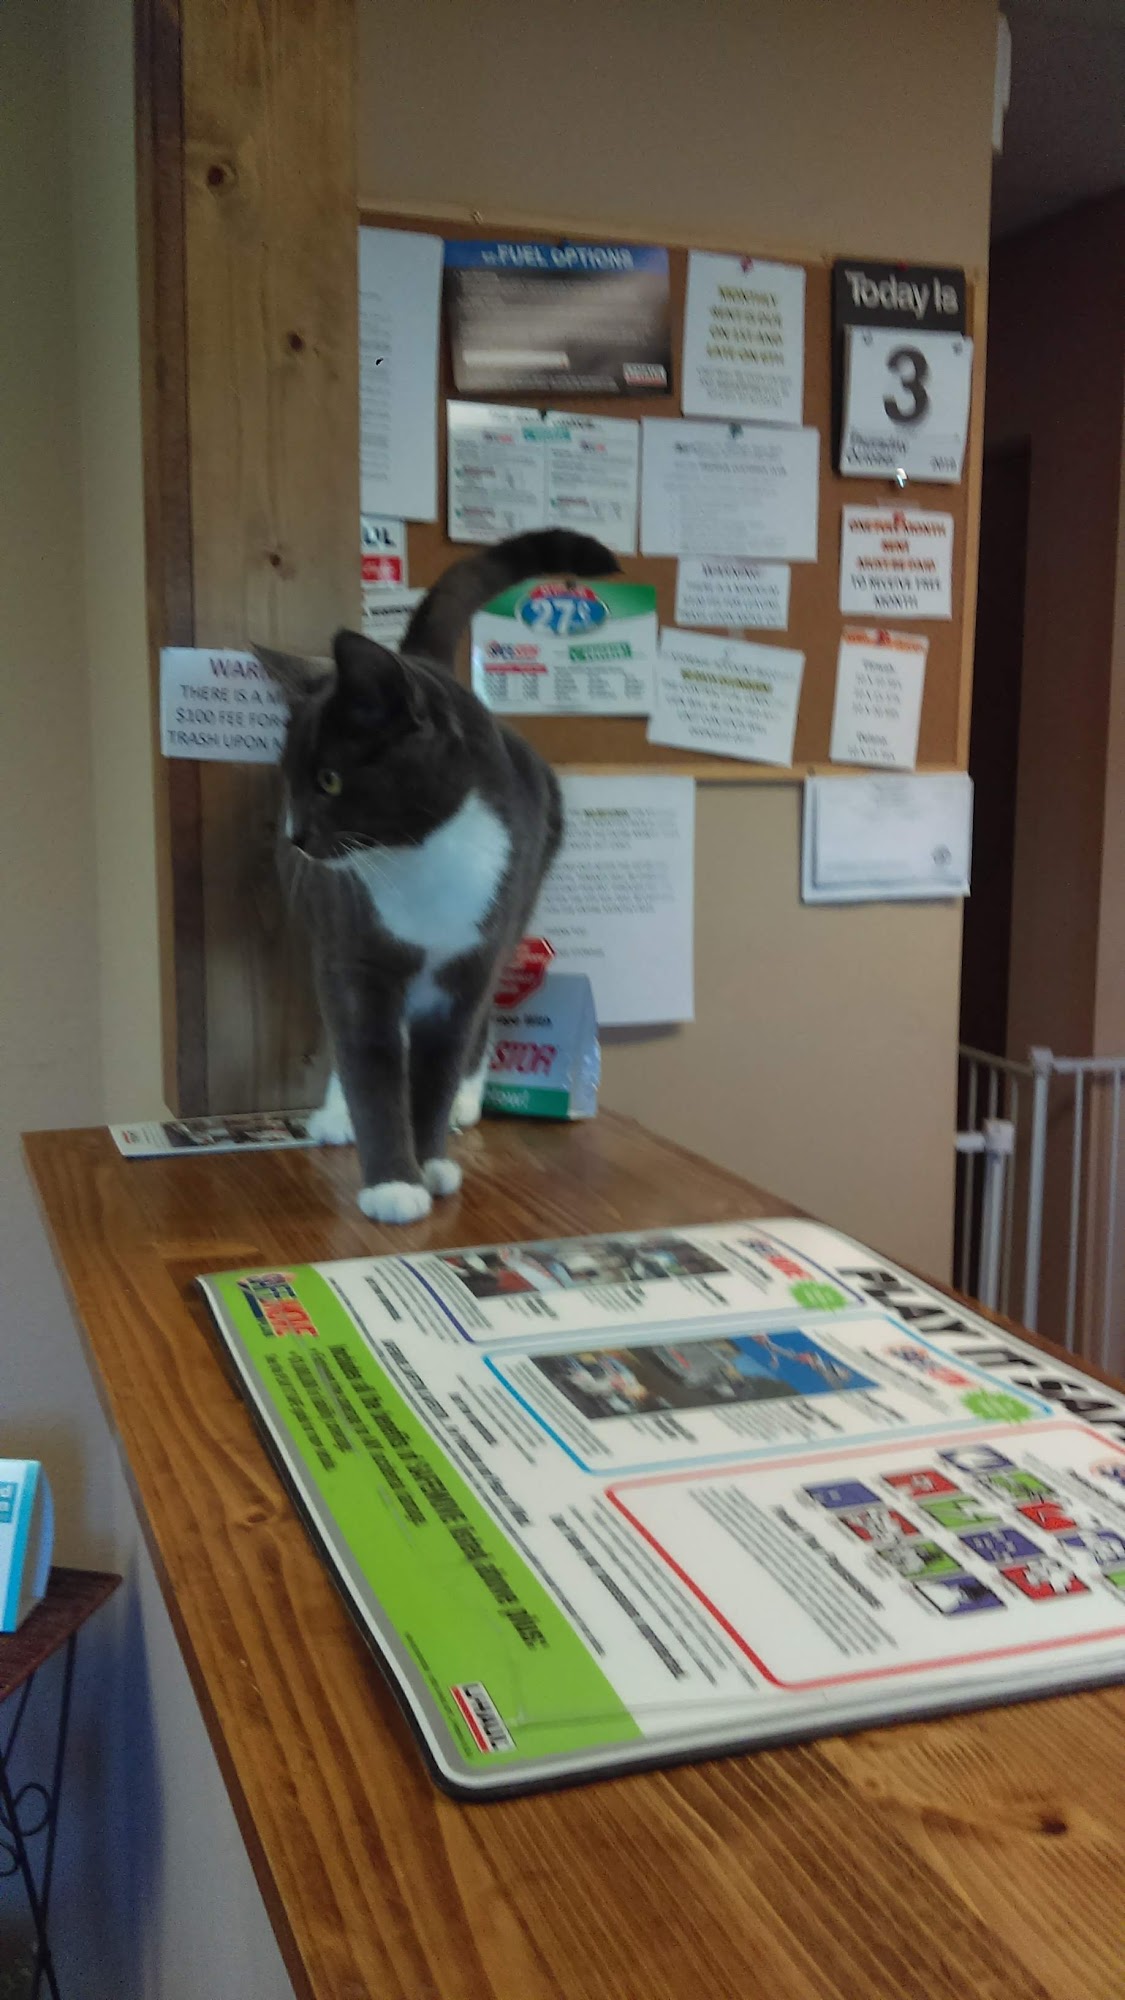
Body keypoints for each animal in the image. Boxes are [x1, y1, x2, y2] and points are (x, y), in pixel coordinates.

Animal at [256, 528, 619, 1224]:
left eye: (330, 781)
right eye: (289, 783)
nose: (295, 838)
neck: (420, 859)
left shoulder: (470, 963)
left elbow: (442, 1060)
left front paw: (424, 1164)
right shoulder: (354, 951)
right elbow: (367, 1056)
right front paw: (392, 1181)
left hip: (519, 905)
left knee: (481, 1028)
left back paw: (464, 1106)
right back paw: (337, 1115)